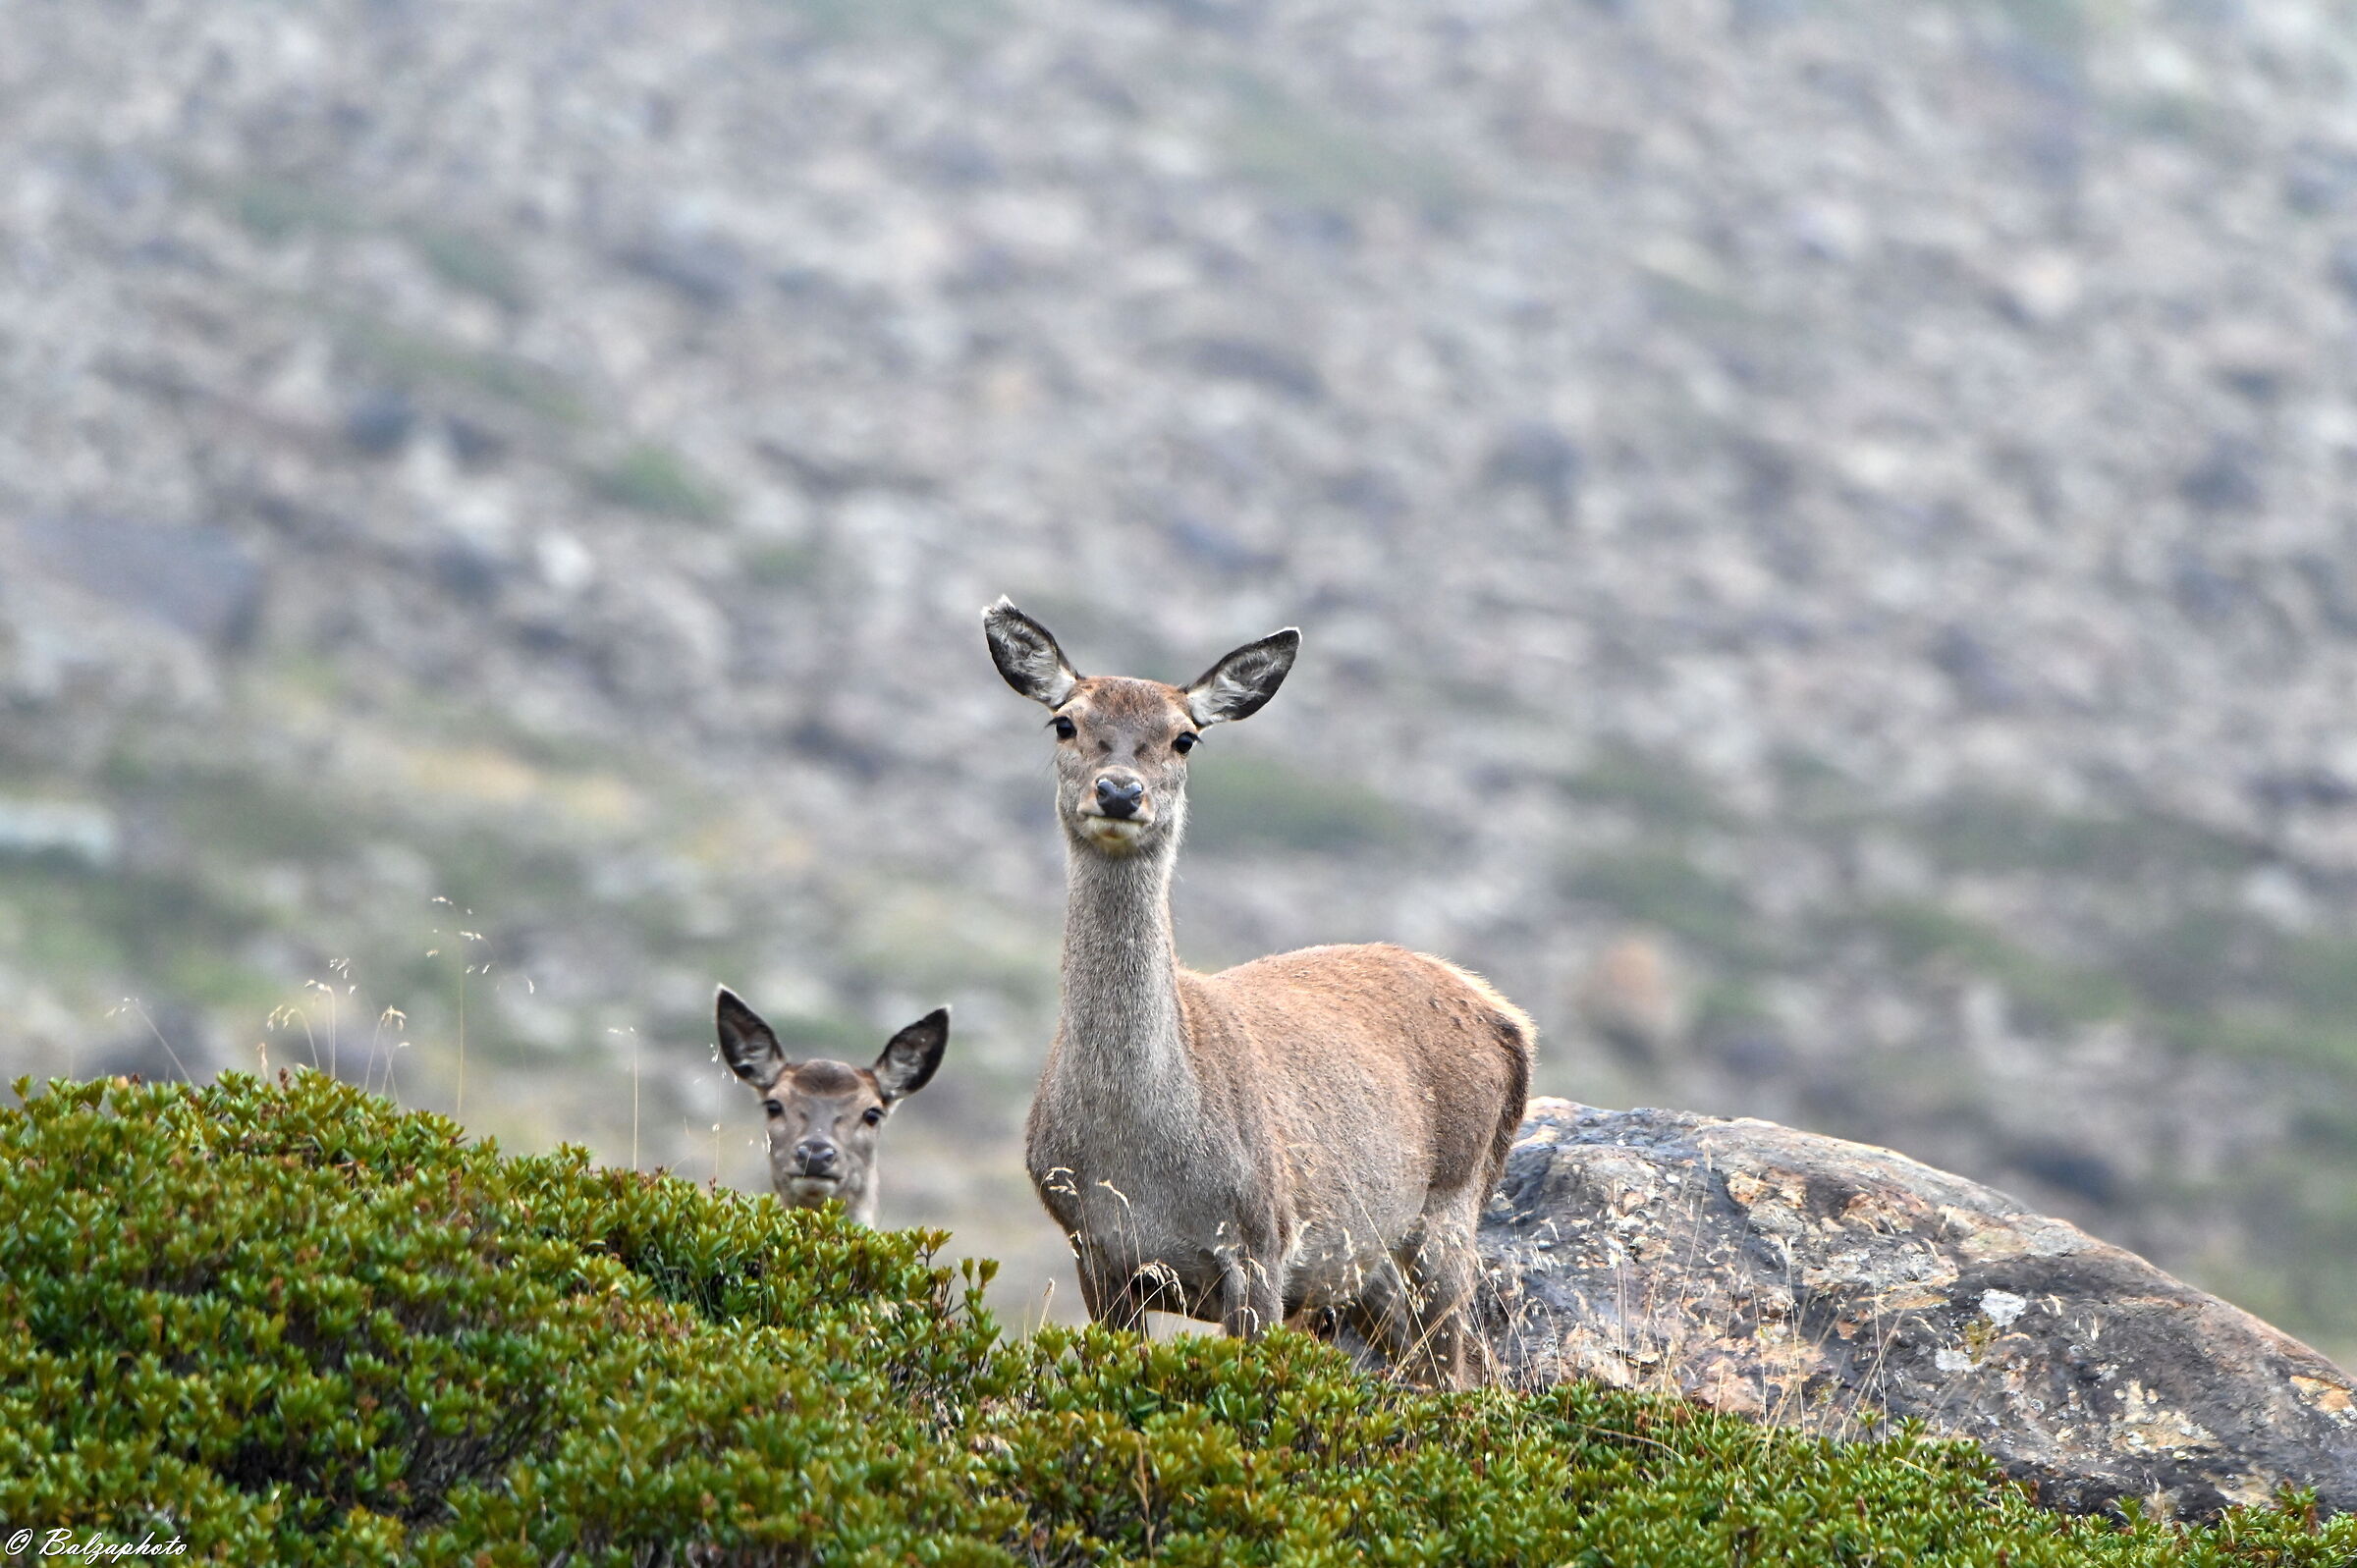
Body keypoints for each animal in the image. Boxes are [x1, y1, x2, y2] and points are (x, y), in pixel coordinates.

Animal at [983, 598, 1534, 1387]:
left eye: (1184, 737)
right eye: (1066, 721)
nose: (1119, 790)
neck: (1142, 1155)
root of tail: (1510, 1022)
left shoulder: (1262, 1243)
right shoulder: (1094, 1248)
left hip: (1449, 1208)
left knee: (1458, 1372)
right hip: (1370, 1268)